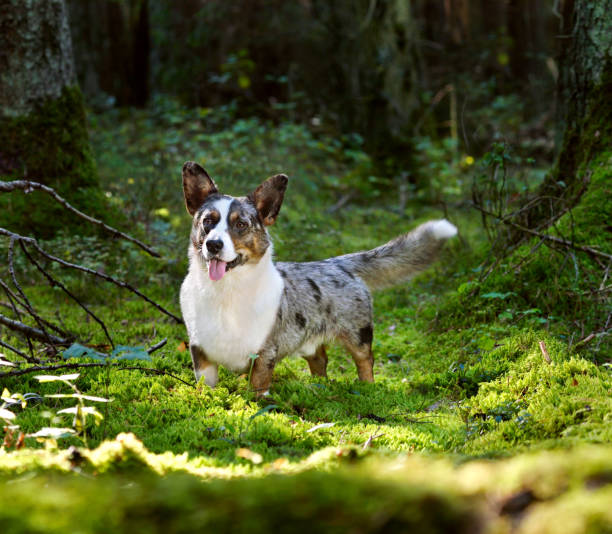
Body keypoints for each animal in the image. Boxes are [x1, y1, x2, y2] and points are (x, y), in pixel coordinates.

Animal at [179, 163, 456, 398]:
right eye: (207, 221)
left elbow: (258, 385)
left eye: (241, 224)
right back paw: (318, 386)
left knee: (365, 360)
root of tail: (340, 262)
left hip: (358, 333)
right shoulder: (200, 352)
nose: (213, 245)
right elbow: (205, 383)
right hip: (309, 340)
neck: (226, 291)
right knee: (320, 359)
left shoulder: (265, 352)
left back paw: (368, 388)